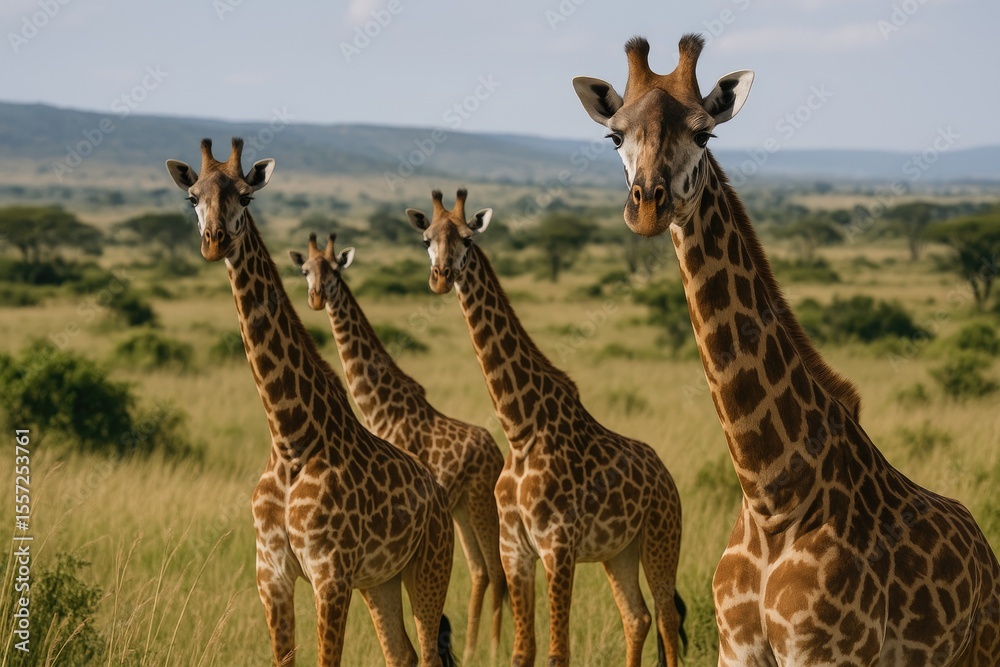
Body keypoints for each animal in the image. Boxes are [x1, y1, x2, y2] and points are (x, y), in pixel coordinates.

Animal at [165, 138, 456, 667]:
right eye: (192, 197)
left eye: (246, 196)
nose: (215, 241)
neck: (290, 439)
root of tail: (438, 493)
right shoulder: (272, 575)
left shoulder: (330, 574)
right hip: (381, 581)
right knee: (400, 653)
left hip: (430, 566)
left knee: (426, 652)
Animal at [288, 232, 508, 664]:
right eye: (305, 270)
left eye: (334, 269)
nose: (317, 297)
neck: (381, 408)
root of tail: (497, 450)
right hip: (460, 507)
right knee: (480, 571)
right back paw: (474, 648)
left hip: (479, 501)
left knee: (496, 572)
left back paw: (491, 651)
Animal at [404, 188, 687, 667]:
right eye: (426, 239)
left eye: (467, 238)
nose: (441, 277)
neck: (520, 429)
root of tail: (668, 478)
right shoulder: (516, 549)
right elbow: (524, 650)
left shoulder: (558, 545)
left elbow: (557, 653)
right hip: (620, 552)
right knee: (637, 618)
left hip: (662, 540)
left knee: (666, 622)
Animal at [574, 35, 1000, 665]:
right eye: (614, 135)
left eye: (705, 133)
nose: (648, 205)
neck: (771, 496)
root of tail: (984, 550)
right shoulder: (735, 648)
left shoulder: (827, 652)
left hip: (983, 648)